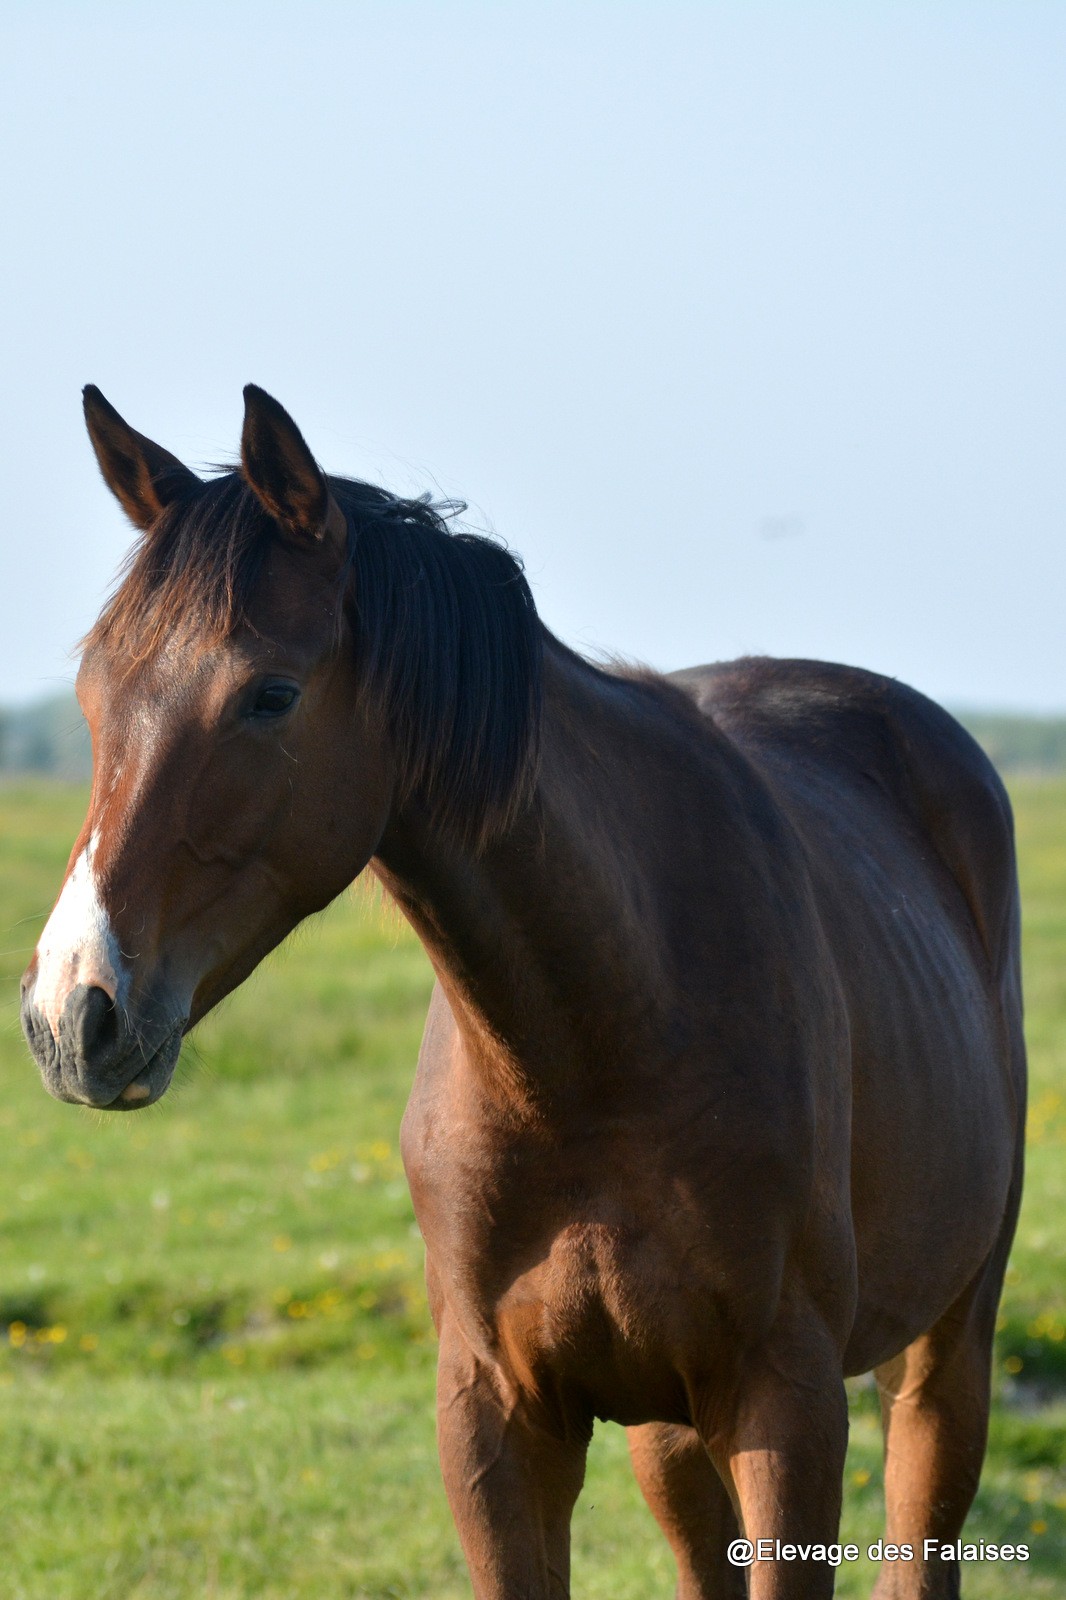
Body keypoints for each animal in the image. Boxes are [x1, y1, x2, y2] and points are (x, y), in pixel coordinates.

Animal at [22, 380, 1024, 1593]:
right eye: (92, 692)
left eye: (269, 695)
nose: (71, 1014)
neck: (598, 1044)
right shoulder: (496, 1418)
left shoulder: (787, 1405)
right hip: (668, 1430)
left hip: (943, 1355)